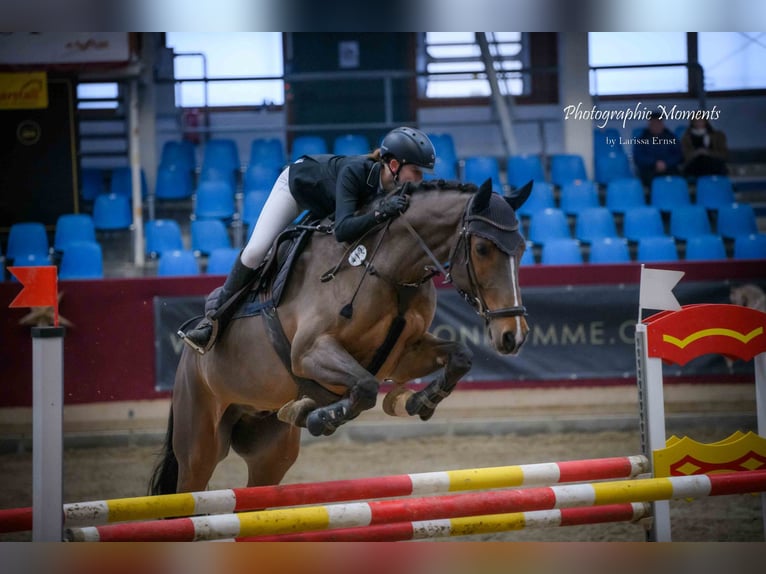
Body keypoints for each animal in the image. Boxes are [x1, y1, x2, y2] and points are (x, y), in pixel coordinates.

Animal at [150, 179, 536, 496]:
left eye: (521, 248)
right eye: (483, 249)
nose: (512, 336)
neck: (387, 268)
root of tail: (187, 362)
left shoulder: (401, 355)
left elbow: (459, 357)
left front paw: (416, 401)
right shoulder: (308, 353)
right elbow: (363, 386)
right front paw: (321, 416)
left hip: (270, 450)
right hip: (199, 443)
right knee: (190, 486)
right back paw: (205, 332)